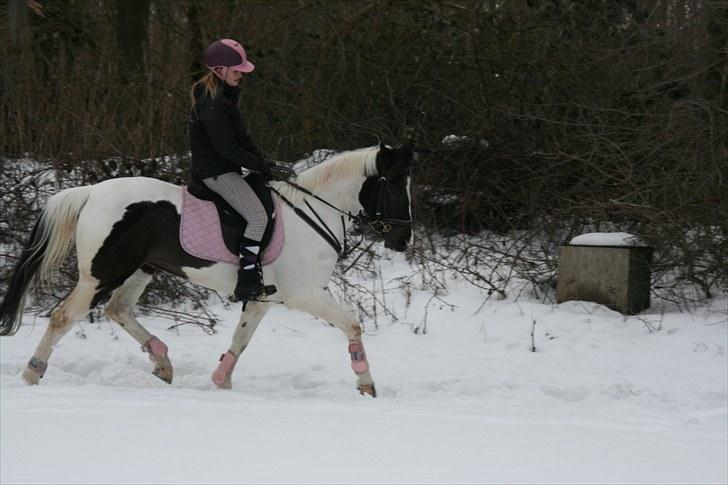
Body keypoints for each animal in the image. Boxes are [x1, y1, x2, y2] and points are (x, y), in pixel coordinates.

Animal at [0, 144, 412, 398]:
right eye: (393, 185)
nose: (403, 239)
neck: (312, 214)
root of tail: (91, 192)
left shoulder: (262, 298)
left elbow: (240, 339)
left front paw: (220, 381)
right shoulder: (305, 295)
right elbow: (353, 325)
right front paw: (367, 385)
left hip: (141, 270)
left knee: (118, 310)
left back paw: (163, 362)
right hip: (101, 275)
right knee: (63, 316)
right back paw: (33, 373)